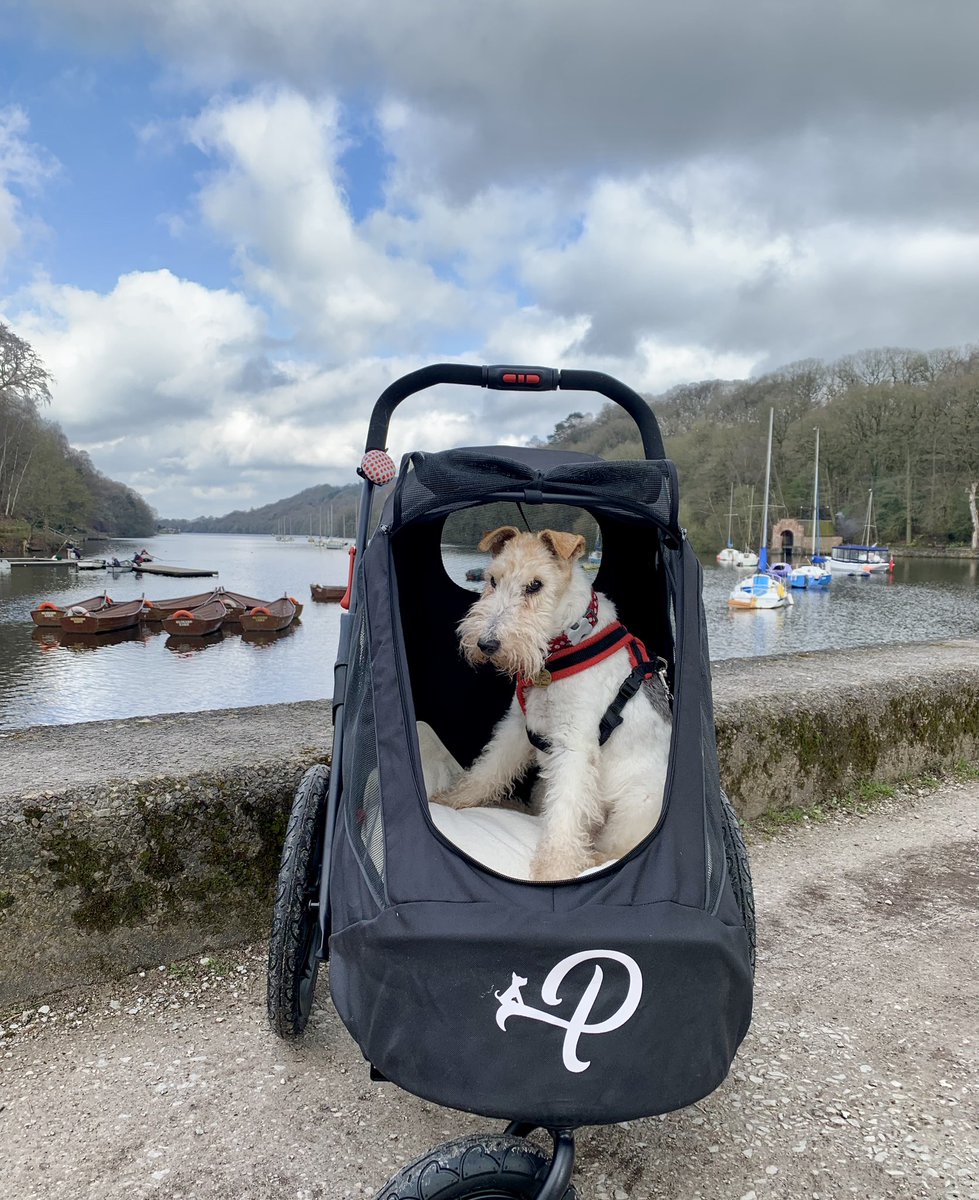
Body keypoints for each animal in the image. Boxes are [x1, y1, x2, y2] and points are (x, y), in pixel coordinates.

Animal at [436, 525, 671, 883]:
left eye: (536, 585)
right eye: (493, 580)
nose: (487, 644)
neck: (567, 643)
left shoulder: (575, 744)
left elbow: (565, 815)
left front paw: (554, 869)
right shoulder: (517, 726)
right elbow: (487, 771)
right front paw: (451, 800)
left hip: (636, 805)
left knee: (612, 848)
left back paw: (588, 858)